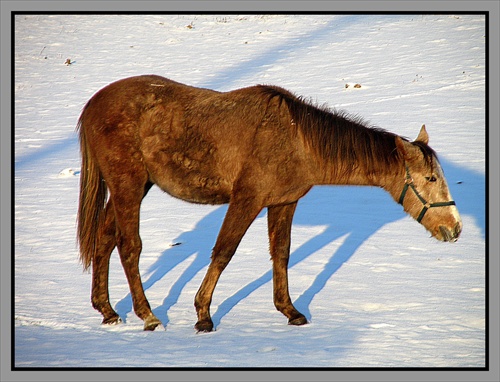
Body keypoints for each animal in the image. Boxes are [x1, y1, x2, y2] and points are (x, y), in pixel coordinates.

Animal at [76, 75, 462, 332]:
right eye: (431, 179)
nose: (455, 227)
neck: (295, 138)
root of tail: (93, 104)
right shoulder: (247, 200)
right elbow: (224, 251)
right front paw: (203, 314)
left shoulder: (283, 203)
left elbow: (281, 254)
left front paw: (289, 310)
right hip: (128, 185)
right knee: (129, 246)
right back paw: (148, 315)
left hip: (133, 187)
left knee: (104, 239)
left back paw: (107, 310)